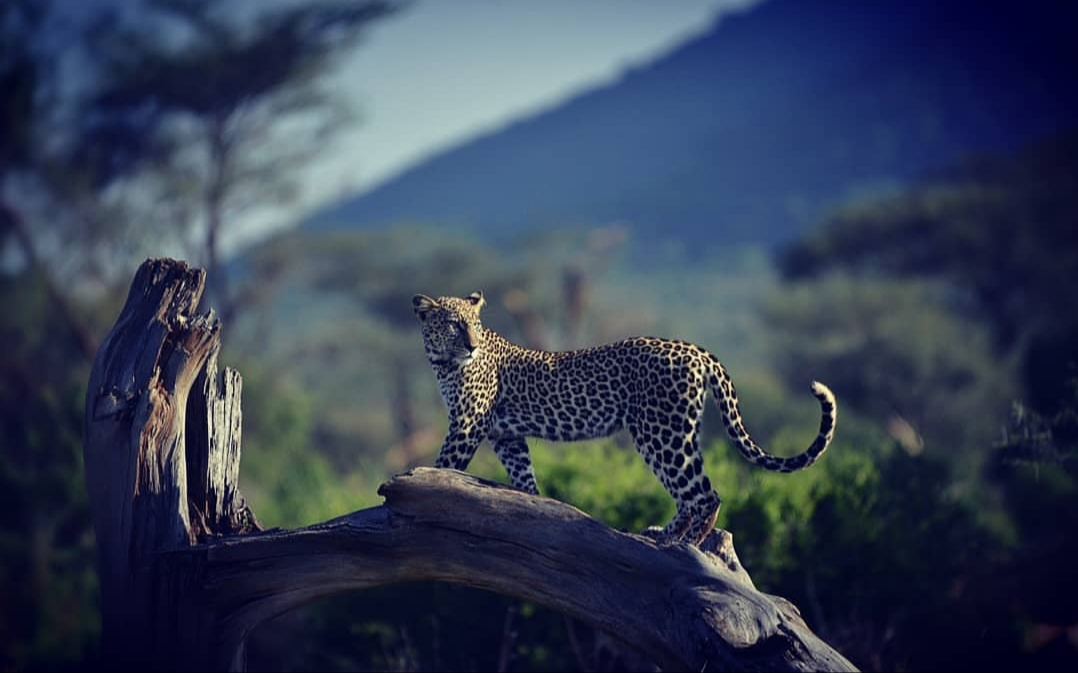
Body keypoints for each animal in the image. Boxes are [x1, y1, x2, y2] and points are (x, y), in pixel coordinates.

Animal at [412, 290, 837, 547]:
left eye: (474, 324)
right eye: (453, 324)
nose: (472, 345)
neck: (442, 363)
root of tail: (696, 350)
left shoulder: (467, 424)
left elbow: (443, 465)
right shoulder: (507, 436)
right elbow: (524, 477)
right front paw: (533, 507)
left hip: (661, 432)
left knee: (704, 494)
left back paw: (687, 546)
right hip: (672, 431)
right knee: (688, 494)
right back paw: (660, 536)